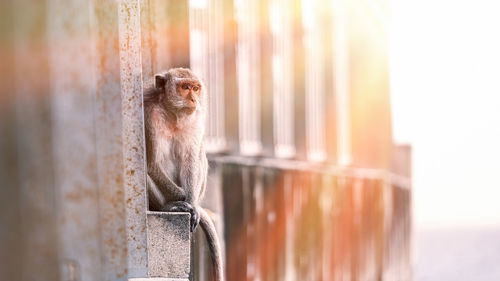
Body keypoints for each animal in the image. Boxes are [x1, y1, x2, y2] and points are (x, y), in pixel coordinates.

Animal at [144, 68, 224, 280]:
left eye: (195, 88)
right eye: (185, 87)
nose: (194, 99)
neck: (173, 115)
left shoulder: (196, 119)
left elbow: (191, 159)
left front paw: (193, 205)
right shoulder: (148, 116)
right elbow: (151, 164)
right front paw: (182, 199)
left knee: (199, 153)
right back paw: (169, 206)